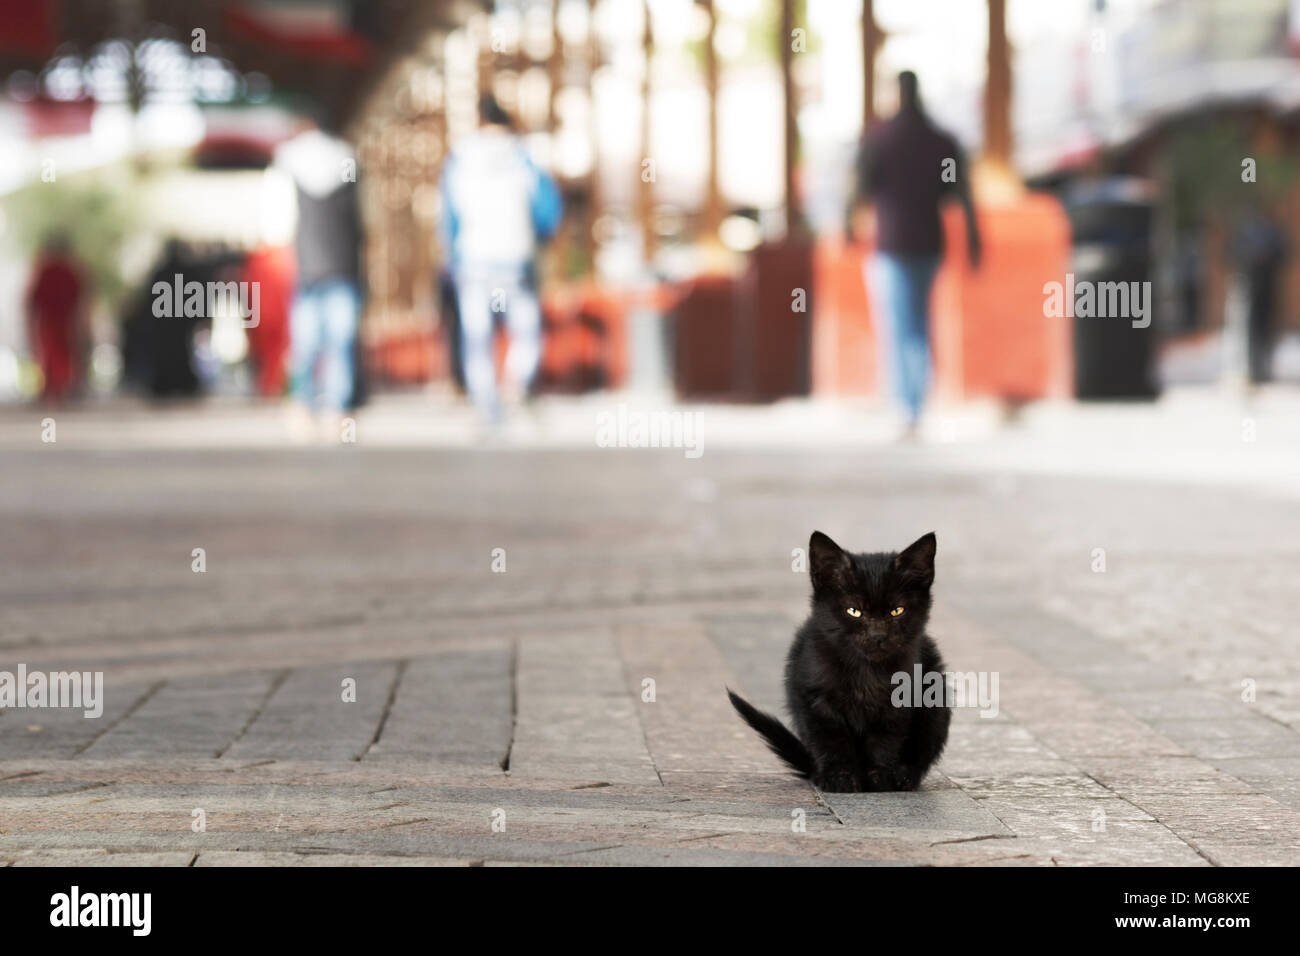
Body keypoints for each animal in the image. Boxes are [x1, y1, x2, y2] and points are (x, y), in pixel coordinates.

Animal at [728, 530, 951, 790]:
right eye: (854, 611)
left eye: (897, 611)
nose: (877, 636)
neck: (866, 672)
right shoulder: (816, 700)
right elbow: (832, 740)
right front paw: (839, 778)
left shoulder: (900, 699)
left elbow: (884, 741)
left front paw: (879, 778)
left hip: (936, 697)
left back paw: (905, 775)